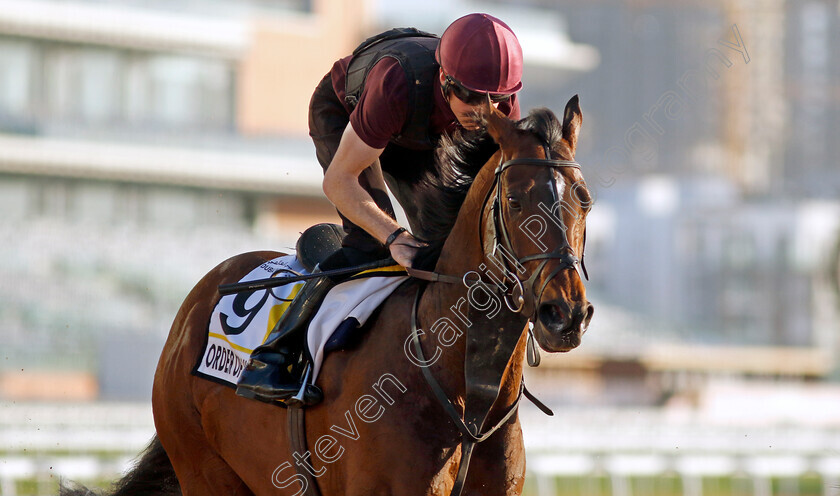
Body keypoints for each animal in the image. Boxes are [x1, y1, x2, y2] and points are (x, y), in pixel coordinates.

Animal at [59, 97, 592, 496]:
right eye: (514, 200)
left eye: (583, 200)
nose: (565, 314)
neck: (464, 394)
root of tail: (195, 304)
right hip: (204, 470)